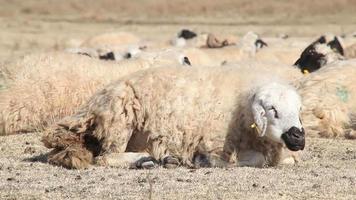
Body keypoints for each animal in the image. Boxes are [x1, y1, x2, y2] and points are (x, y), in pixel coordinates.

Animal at [41, 65, 304, 169]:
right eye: (271, 109)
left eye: (299, 109)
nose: (297, 137)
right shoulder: (217, 143)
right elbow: (253, 159)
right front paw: (203, 161)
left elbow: (285, 160)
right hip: (120, 118)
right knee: (105, 157)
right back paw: (144, 160)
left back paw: (162, 159)